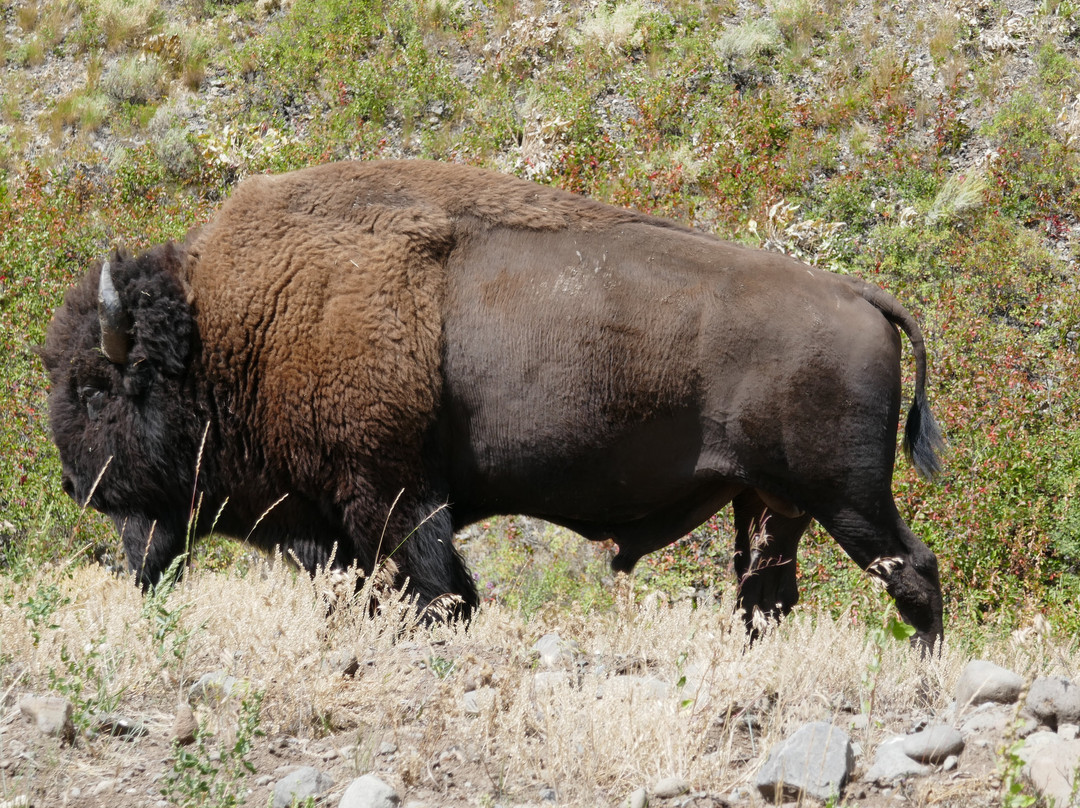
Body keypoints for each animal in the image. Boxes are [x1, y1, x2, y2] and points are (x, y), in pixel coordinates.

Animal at [41, 159, 945, 647]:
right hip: (770, 504)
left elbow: (436, 589)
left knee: (913, 569)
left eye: (94, 387)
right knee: (769, 596)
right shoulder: (341, 521)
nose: (75, 483)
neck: (234, 327)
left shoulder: (392, 496)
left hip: (846, 497)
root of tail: (861, 294)